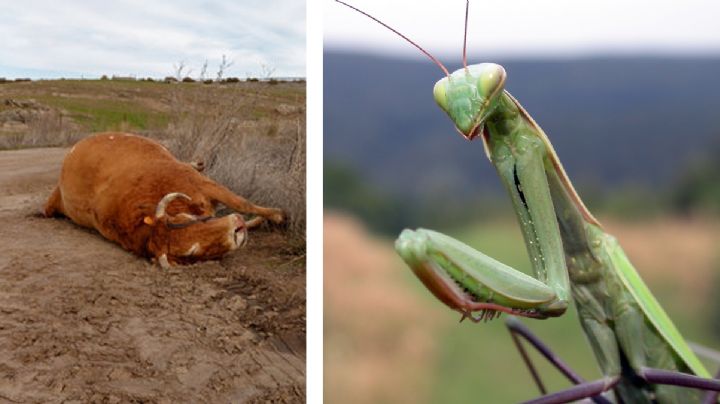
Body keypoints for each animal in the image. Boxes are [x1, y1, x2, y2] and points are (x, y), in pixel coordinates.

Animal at [44, 132, 285, 268]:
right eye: (192, 252)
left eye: (186, 218)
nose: (238, 229)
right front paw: (260, 221)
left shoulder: (201, 182)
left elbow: (242, 202)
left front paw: (278, 216)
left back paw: (198, 162)